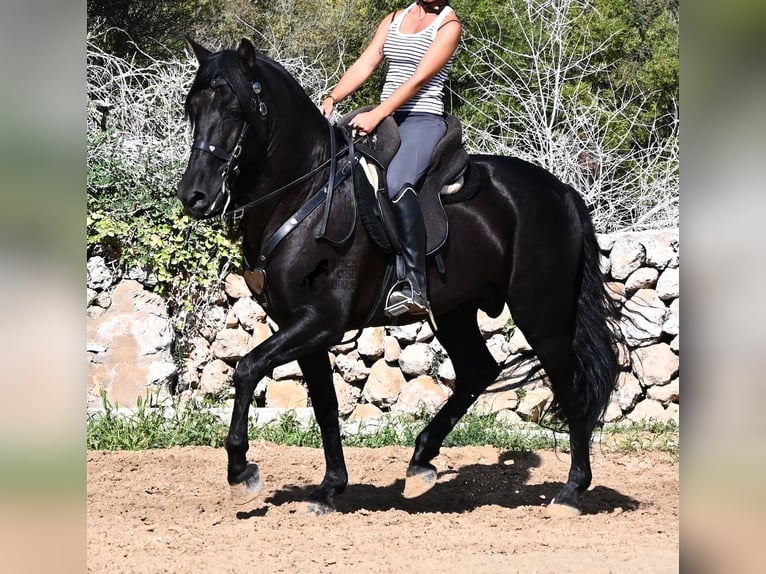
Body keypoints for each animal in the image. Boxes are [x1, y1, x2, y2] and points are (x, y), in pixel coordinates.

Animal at [176, 37, 623, 516]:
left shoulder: (319, 322)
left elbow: (246, 369)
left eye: (235, 110)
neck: (304, 194)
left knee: (570, 385)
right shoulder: (302, 326)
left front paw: (242, 471)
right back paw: (421, 462)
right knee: (478, 371)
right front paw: (329, 488)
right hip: (456, 310)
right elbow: (325, 405)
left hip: (541, 313)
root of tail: (561, 191)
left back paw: (572, 491)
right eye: (193, 107)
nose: (194, 196)